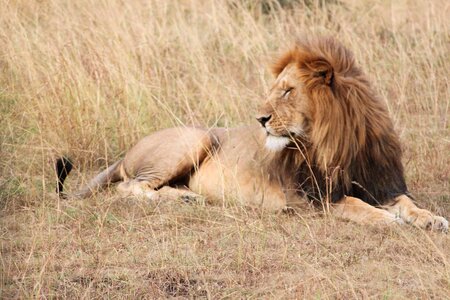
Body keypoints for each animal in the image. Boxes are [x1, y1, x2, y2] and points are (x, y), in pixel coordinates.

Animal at [57, 36, 450, 231]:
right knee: (128, 187)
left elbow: (409, 204)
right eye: (276, 89)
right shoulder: (311, 198)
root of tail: (126, 153)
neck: (338, 143)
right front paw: (386, 220)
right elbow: (356, 206)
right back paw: (181, 198)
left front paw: (432, 219)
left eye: (288, 91)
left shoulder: (380, 183)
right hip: (194, 139)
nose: (260, 118)